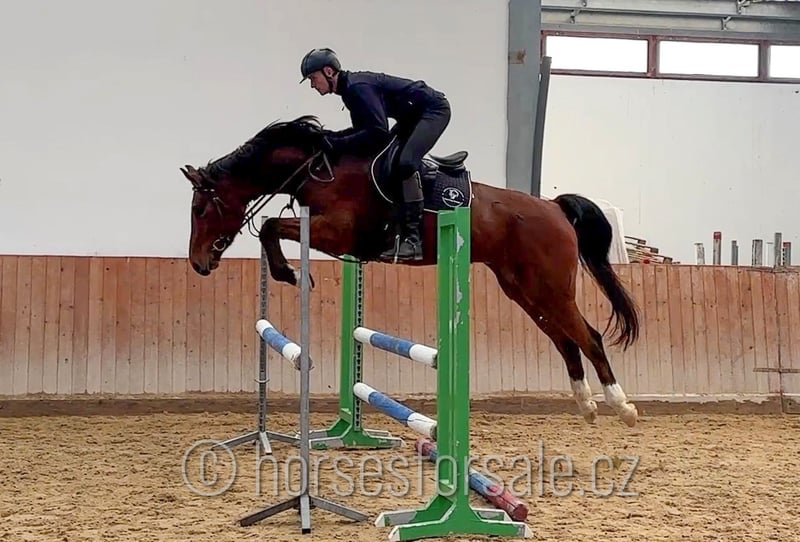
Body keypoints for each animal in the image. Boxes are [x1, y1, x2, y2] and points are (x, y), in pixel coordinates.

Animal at [180, 115, 641, 427]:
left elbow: (272, 226)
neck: (319, 167)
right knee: (565, 341)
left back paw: (621, 405)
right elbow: (272, 228)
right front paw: (292, 274)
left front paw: (292, 275)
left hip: (550, 288)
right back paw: (586, 405)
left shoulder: (339, 235)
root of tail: (554, 208)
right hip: (523, 290)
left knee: (589, 336)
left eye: (200, 209)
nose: (199, 264)